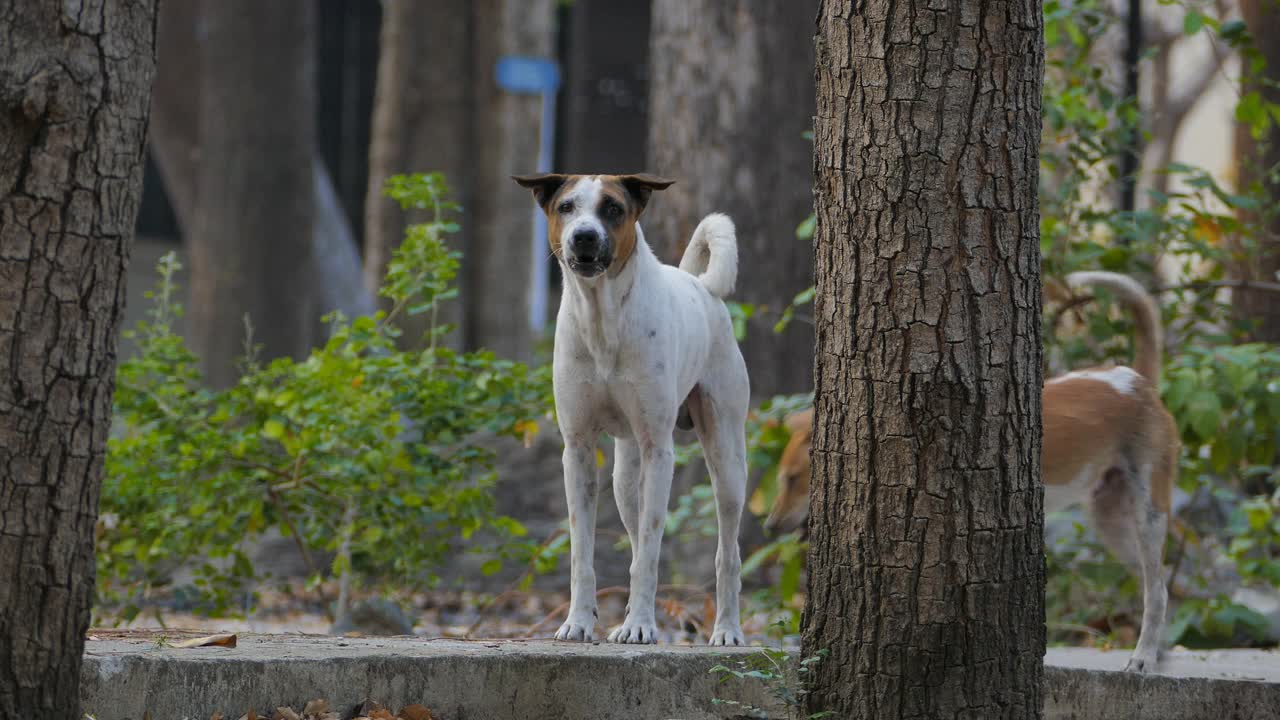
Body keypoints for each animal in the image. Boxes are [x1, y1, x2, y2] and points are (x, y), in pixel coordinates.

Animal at [757, 269, 1177, 666]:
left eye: (792, 480)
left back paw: (1143, 658)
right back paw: (1157, 651)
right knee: (1157, 585)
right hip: (1113, 524)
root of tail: (1138, 382)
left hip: (1148, 514)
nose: (769, 526)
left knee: (1157, 590)